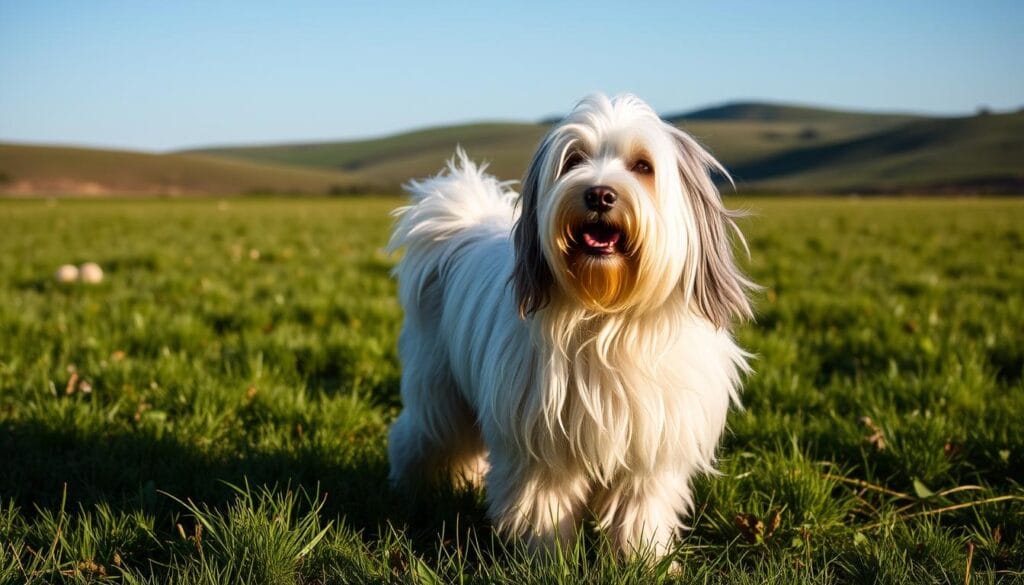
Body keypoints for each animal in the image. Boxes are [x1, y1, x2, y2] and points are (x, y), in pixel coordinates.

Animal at [387, 93, 757, 561]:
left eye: (643, 166)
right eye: (574, 160)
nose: (598, 194)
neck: (605, 317)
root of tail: (458, 225)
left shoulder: (651, 449)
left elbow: (642, 512)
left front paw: (645, 561)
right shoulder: (540, 448)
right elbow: (542, 510)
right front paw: (546, 561)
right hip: (440, 392)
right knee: (416, 437)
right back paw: (410, 493)